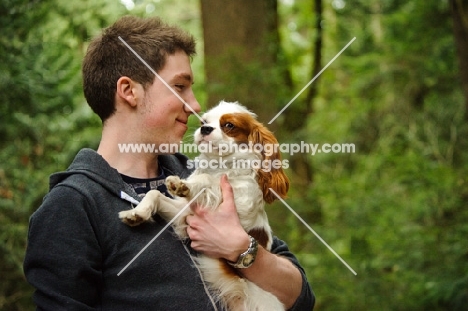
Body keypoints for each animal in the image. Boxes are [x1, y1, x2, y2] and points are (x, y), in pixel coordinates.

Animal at [119, 101, 288, 310]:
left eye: (229, 125)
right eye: (204, 122)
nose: (205, 129)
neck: (221, 166)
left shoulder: (239, 205)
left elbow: (208, 180)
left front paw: (185, 185)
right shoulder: (184, 214)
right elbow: (155, 193)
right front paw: (137, 213)